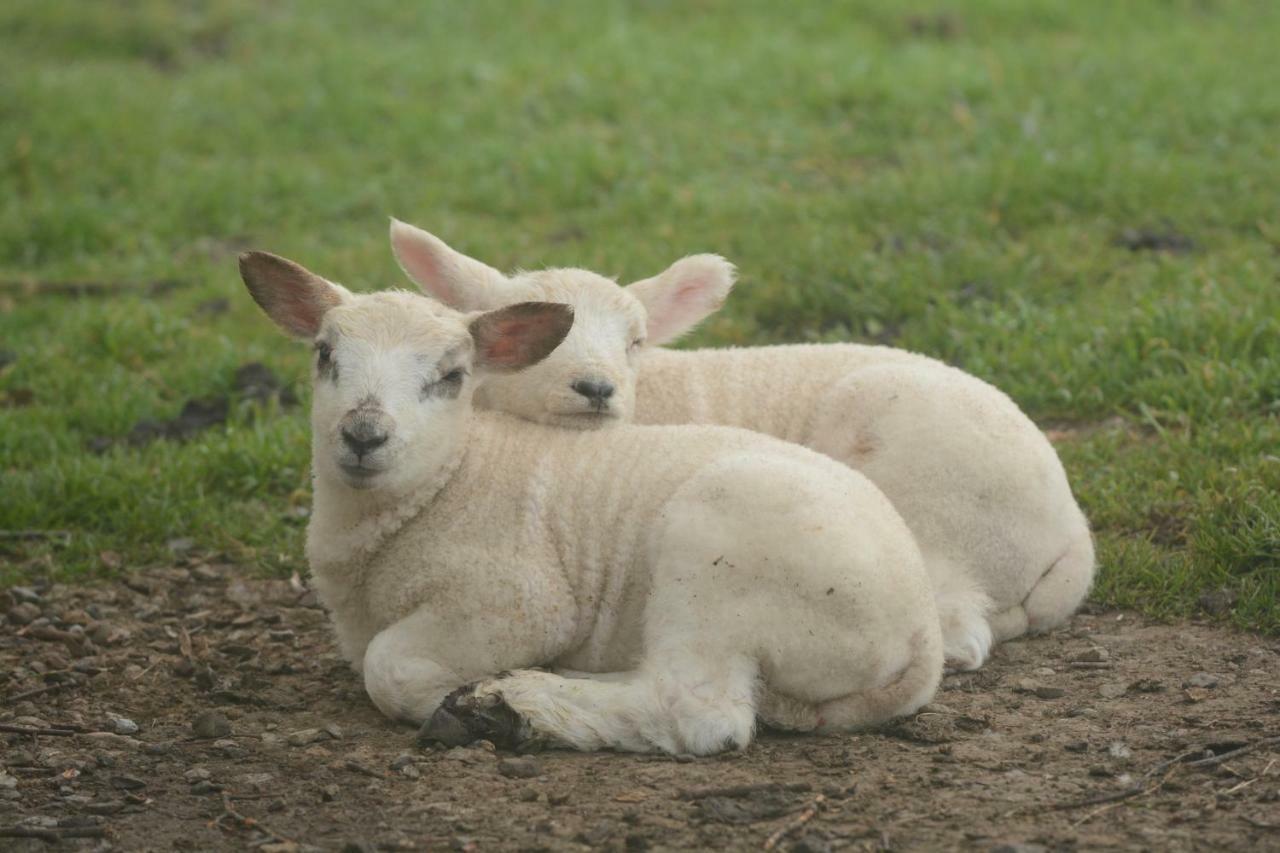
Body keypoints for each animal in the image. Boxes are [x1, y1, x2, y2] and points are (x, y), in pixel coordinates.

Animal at [240, 245, 947, 753]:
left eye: (451, 376)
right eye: (324, 355)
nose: (363, 435)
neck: (447, 481)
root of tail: (920, 633)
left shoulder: (517, 601)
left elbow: (387, 667)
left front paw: (463, 693)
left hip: (720, 563)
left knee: (698, 713)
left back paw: (517, 709)